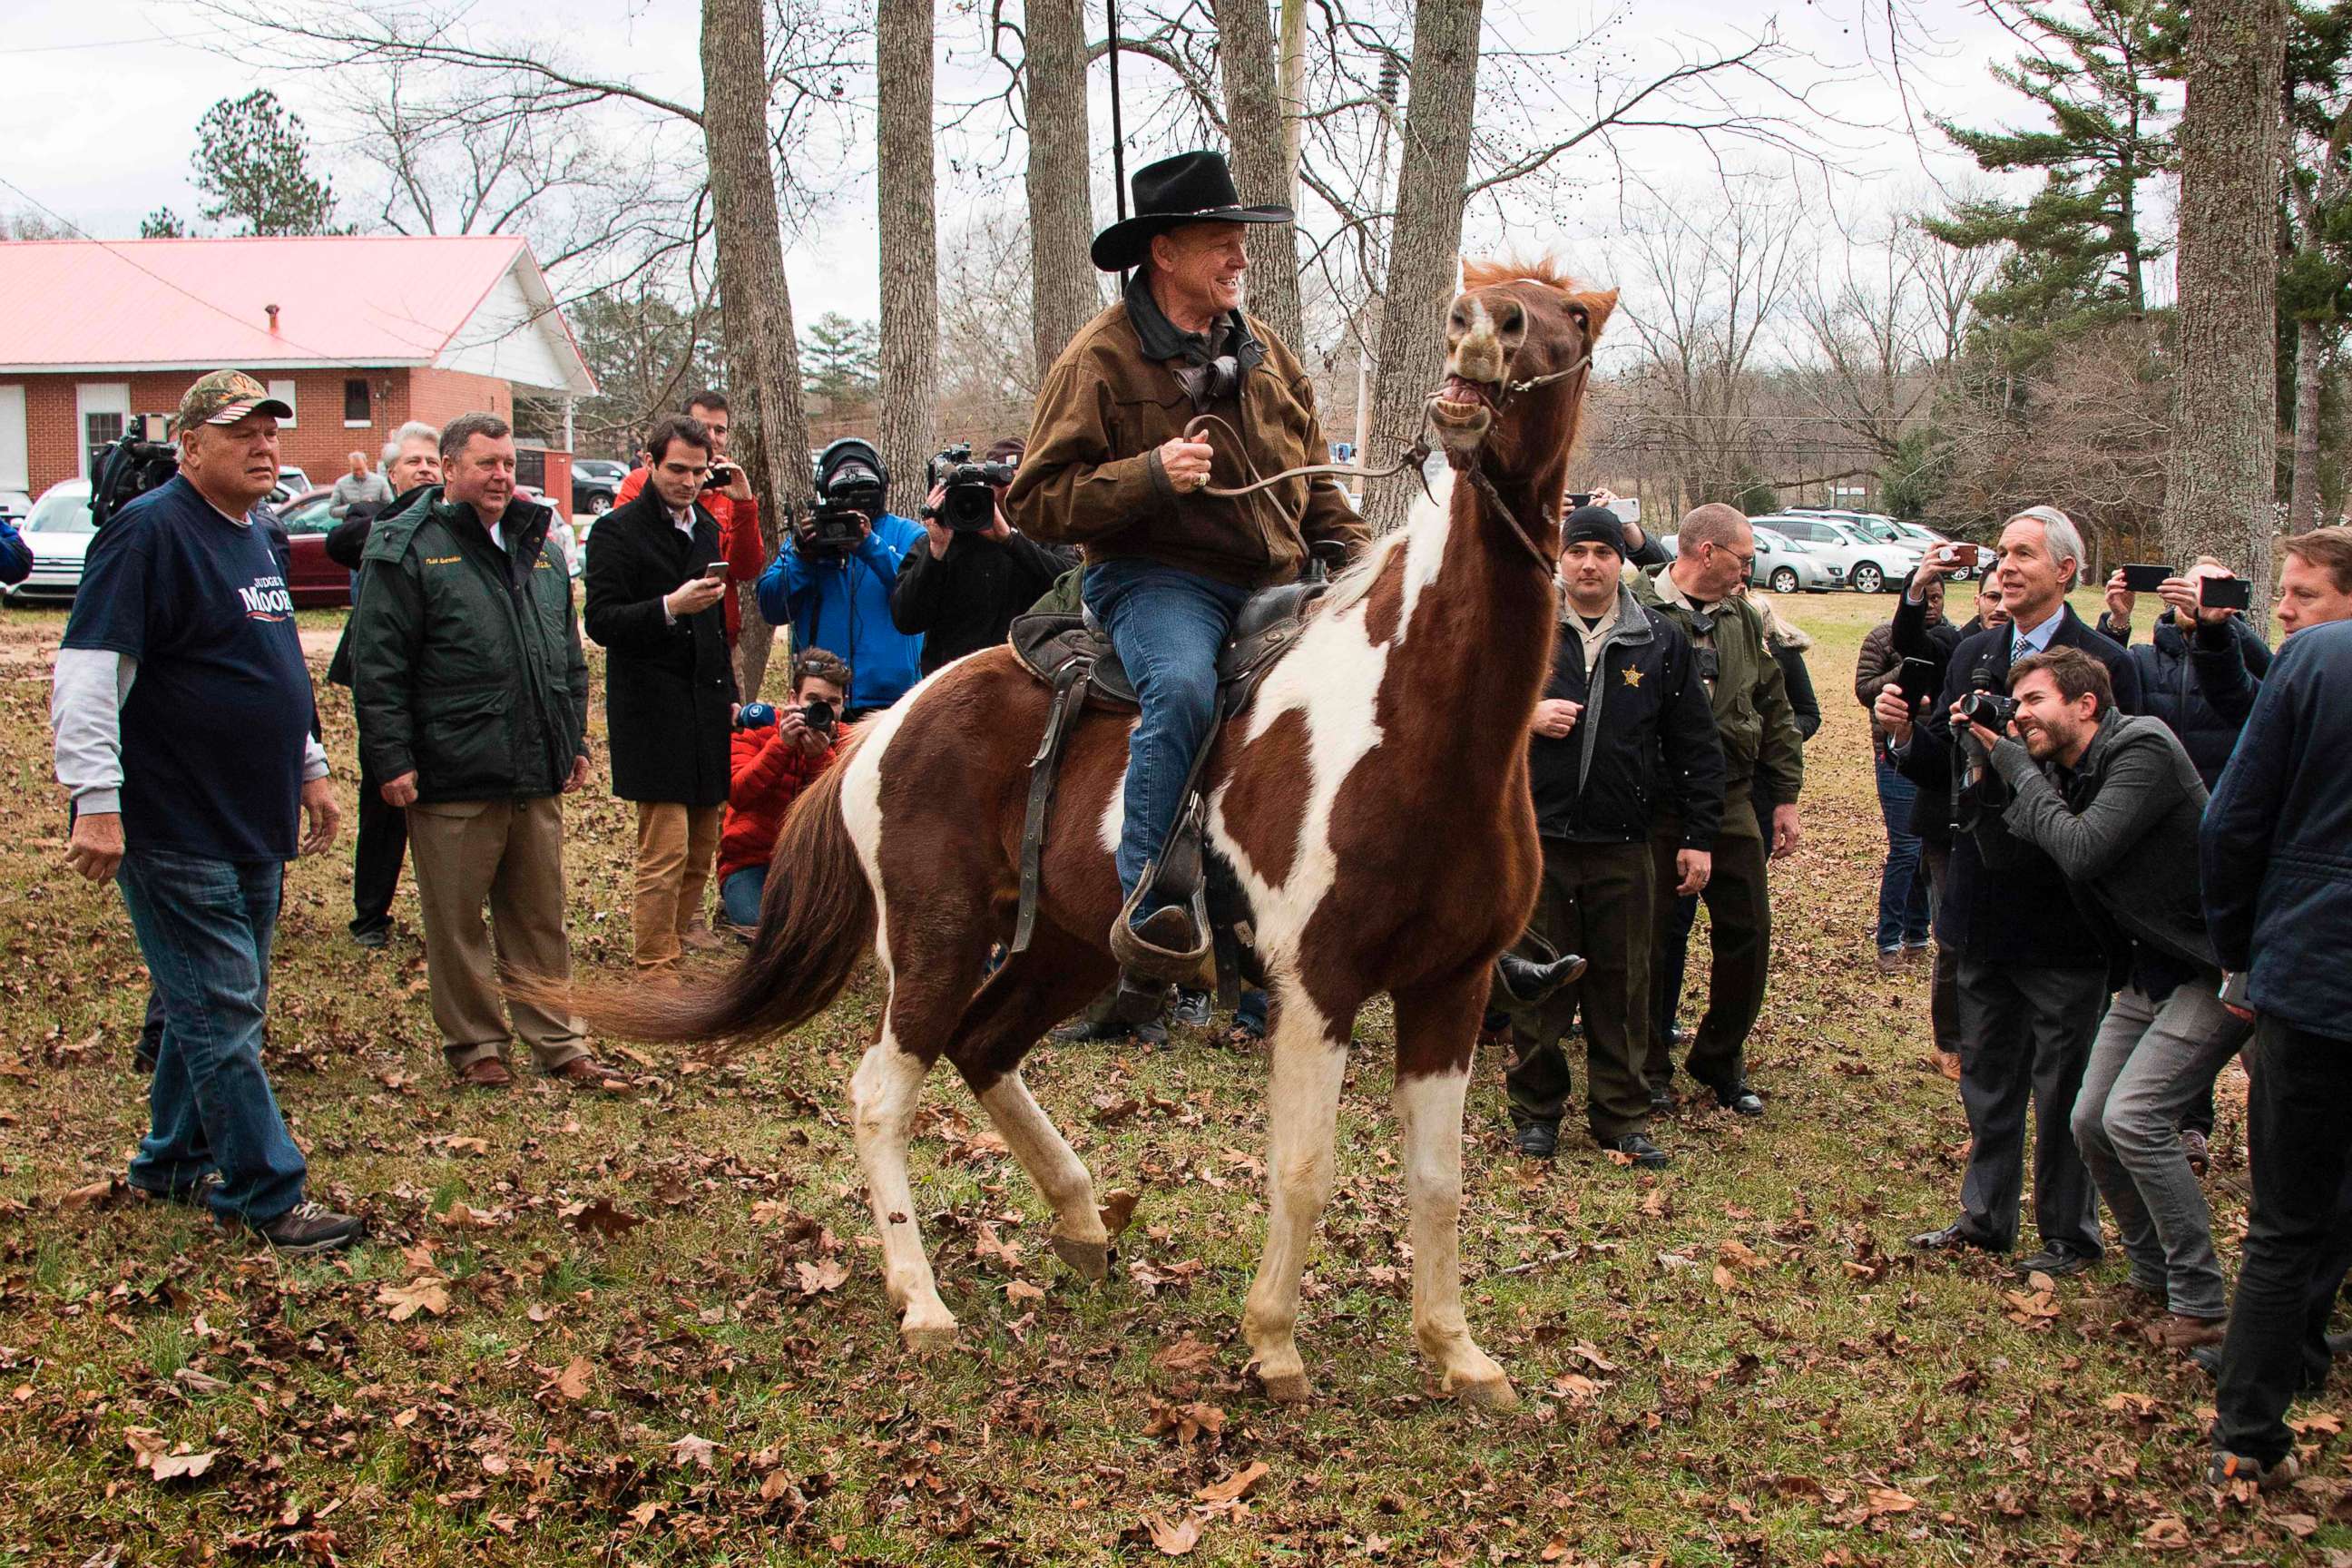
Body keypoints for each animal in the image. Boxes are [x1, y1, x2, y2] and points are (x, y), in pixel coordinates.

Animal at [550, 260, 1618, 1410]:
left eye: (1571, 316)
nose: (1477, 329)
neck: (1419, 716)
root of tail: (885, 726)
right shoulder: (1320, 983)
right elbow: (1304, 1169)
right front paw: (1274, 1343)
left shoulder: (1450, 988)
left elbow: (1439, 1180)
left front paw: (1459, 1353)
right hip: (933, 941)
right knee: (883, 1095)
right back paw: (923, 1302)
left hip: (1067, 947)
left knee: (982, 1047)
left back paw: (1082, 1222)